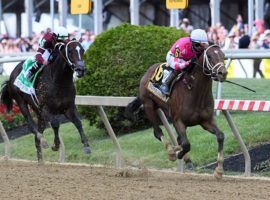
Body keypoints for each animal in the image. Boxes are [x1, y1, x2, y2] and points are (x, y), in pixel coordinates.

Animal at [126, 44, 228, 178]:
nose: (223, 73)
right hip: (148, 105)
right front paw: (178, 154)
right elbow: (186, 144)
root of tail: (147, 72)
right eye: (210, 56)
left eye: (223, 55)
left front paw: (219, 170)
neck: (194, 91)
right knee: (157, 132)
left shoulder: (206, 121)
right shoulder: (178, 121)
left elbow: (220, 136)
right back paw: (171, 151)